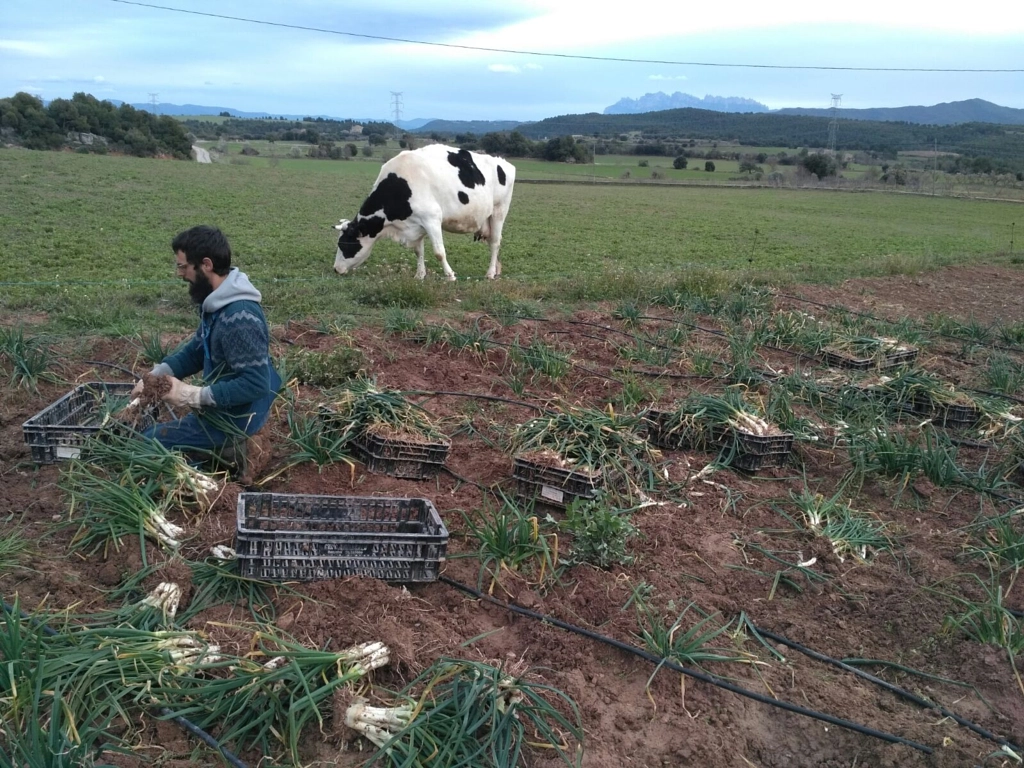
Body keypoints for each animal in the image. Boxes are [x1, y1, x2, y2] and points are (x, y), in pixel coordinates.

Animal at [333, 143, 516, 280]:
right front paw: (419, 275)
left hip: (499, 211)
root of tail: (505, 163)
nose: (335, 269)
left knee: (495, 242)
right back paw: (497, 270)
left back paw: (490, 273)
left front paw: (450, 275)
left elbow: (439, 252)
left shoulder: (432, 218)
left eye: (343, 244)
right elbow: (418, 251)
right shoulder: (416, 224)